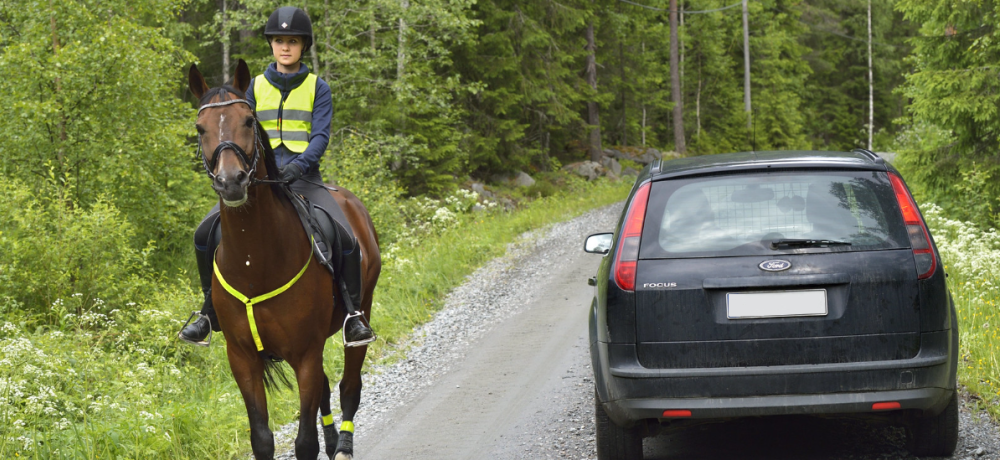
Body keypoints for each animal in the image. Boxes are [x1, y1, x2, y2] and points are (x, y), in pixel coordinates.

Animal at [188, 58, 378, 460]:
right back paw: (334, 440)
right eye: (200, 128)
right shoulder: (242, 357)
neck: (254, 262)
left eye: (247, 120)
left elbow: (305, 442)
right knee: (326, 388)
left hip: (361, 309)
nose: (231, 182)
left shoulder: (305, 353)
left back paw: (344, 445)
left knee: (349, 386)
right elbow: (262, 439)